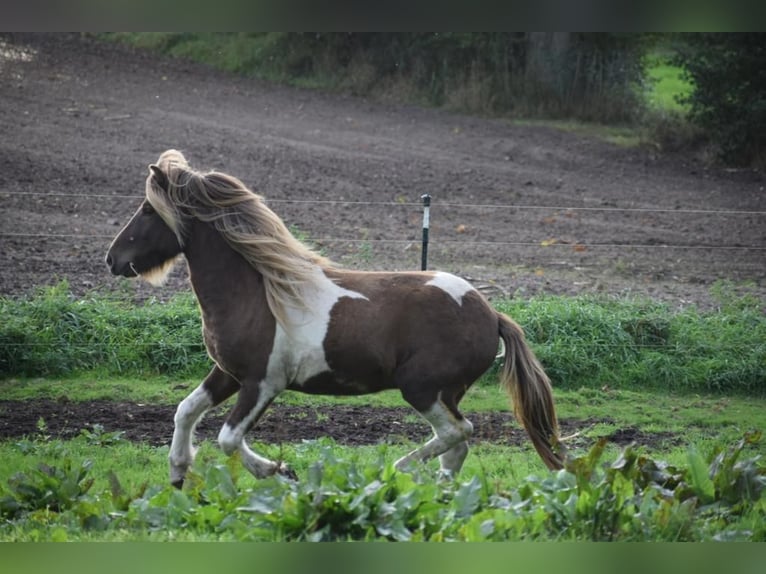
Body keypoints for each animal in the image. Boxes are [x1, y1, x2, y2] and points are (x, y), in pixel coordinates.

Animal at [105, 149, 563, 487]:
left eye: (148, 211)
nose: (112, 259)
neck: (257, 293)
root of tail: (492, 313)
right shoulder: (229, 373)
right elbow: (185, 410)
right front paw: (178, 473)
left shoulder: (263, 382)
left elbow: (228, 438)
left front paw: (280, 473)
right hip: (445, 392)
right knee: (456, 447)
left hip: (423, 389)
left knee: (458, 432)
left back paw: (395, 471)